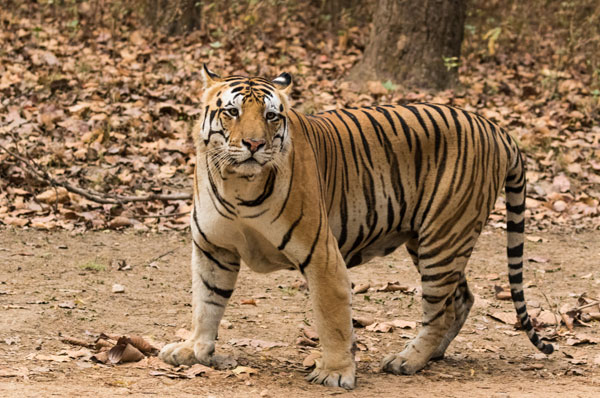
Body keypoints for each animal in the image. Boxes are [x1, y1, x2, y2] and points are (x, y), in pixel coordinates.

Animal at [158, 65, 552, 388]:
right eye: (232, 112)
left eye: (270, 116)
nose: (254, 144)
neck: (237, 184)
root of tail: (495, 127)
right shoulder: (214, 248)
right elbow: (206, 303)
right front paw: (194, 350)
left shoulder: (321, 255)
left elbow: (331, 318)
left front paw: (335, 372)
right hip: (429, 241)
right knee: (461, 299)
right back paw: (433, 354)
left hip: (444, 237)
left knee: (439, 310)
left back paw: (408, 360)